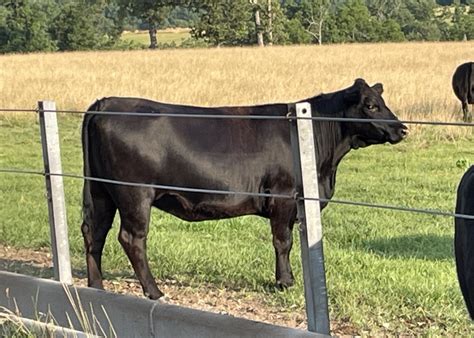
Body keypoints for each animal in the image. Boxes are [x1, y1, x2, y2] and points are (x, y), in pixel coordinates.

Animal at [81, 78, 408, 298]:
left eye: (382, 102)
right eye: (370, 105)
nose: (402, 128)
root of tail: (106, 102)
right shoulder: (283, 198)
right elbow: (283, 241)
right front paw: (285, 282)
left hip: (101, 192)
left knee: (95, 232)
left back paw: (97, 286)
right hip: (134, 194)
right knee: (132, 239)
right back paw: (154, 291)